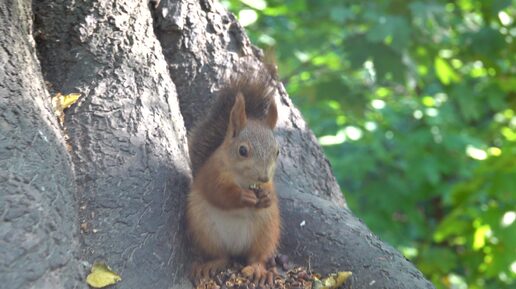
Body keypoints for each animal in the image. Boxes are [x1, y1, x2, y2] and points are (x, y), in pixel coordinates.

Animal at [186, 62, 282, 284]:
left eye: (277, 151)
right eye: (243, 151)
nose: (263, 177)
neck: (244, 179)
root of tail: (236, 247)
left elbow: (271, 192)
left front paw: (267, 197)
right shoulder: (212, 173)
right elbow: (218, 193)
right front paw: (243, 197)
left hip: (266, 230)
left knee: (257, 256)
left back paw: (258, 270)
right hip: (205, 229)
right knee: (221, 255)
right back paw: (212, 265)